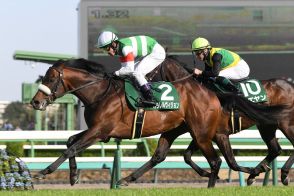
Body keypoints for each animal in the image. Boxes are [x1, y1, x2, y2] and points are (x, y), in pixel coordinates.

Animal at [30, 57, 284, 187]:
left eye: (50, 79)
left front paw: (42, 172)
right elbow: (70, 142)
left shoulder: (101, 131)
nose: (35, 102)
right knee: (161, 156)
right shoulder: (98, 132)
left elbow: (71, 148)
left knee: (216, 160)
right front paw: (73, 176)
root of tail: (210, 93)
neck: (100, 93)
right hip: (179, 130)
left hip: (202, 132)